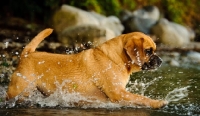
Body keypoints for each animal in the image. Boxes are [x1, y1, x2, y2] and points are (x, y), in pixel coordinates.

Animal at [6, 28, 167, 108]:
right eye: (148, 51)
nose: (161, 61)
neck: (116, 59)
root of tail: (27, 54)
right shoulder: (118, 93)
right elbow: (141, 98)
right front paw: (157, 103)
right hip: (18, 91)